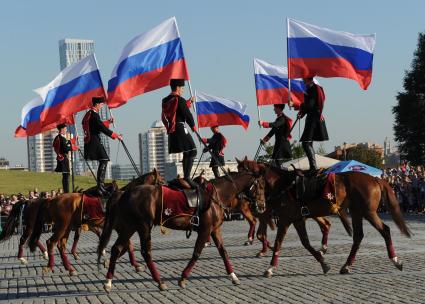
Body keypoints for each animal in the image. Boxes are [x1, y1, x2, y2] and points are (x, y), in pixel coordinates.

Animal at [26, 170, 162, 276]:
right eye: (161, 181)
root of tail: (52, 200)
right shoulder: (121, 228)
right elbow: (128, 245)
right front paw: (134, 264)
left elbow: (127, 245)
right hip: (62, 226)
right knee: (51, 242)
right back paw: (50, 266)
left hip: (67, 227)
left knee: (61, 245)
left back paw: (69, 268)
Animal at [97, 171, 264, 292]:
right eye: (261, 187)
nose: (262, 206)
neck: (215, 195)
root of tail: (124, 193)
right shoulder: (205, 230)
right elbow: (196, 253)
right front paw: (183, 278)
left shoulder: (215, 229)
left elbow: (223, 252)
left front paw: (233, 276)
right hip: (143, 227)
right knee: (145, 252)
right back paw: (159, 281)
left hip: (130, 227)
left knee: (116, 248)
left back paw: (108, 281)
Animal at [237, 159, 410, 278]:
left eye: (246, 176)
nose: (239, 196)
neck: (283, 185)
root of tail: (375, 179)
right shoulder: (297, 220)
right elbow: (305, 243)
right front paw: (324, 263)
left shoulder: (285, 220)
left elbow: (279, 241)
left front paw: (270, 268)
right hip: (356, 213)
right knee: (358, 237)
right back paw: (346, 265)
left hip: (369, 213)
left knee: (385, 230)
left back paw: (396, 260)